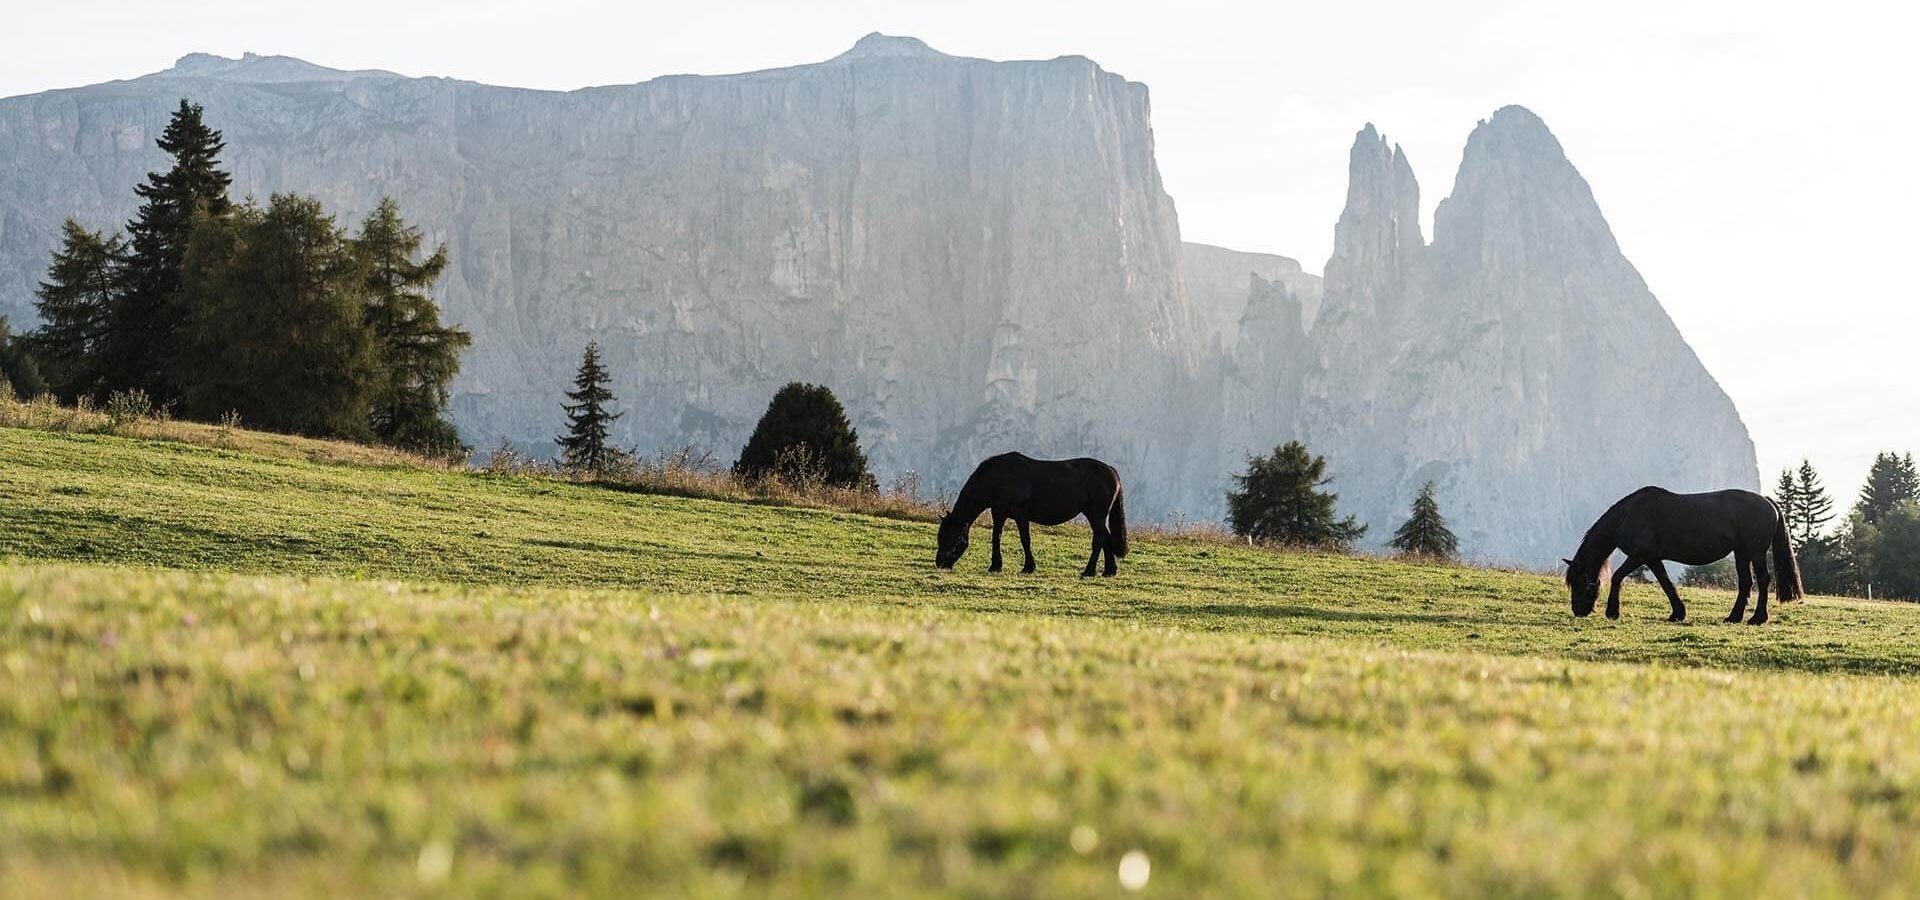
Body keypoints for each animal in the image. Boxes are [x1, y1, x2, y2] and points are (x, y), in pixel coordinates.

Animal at [940, 456, 1128, 575]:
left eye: (949, 537)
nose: (940, 563)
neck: (999, 476)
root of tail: (1111, 471)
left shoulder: (1020, 514)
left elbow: (1025, 539)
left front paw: (1028, 567)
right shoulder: (999, 513)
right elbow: (996, 537)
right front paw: (995, 566)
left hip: (1096, 514)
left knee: (1099, 539)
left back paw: (1089, 571)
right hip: (1093, 514)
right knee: (1106, 537)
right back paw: (1109, 570)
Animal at [1566, 487, 1804, 621]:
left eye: (1580, 581)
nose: (1578, 610)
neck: (1629, 515)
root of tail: (1767, 501)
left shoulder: (1640, 556)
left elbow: (1617, 577)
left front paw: (1613, 612)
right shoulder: (1652, 558)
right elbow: (1666, 583)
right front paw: (1678, 613)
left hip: (1755, 552)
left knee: (1763, 580)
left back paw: (1757, 618)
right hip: (1741, 553)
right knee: (1746, 582)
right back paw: (1734, 617)